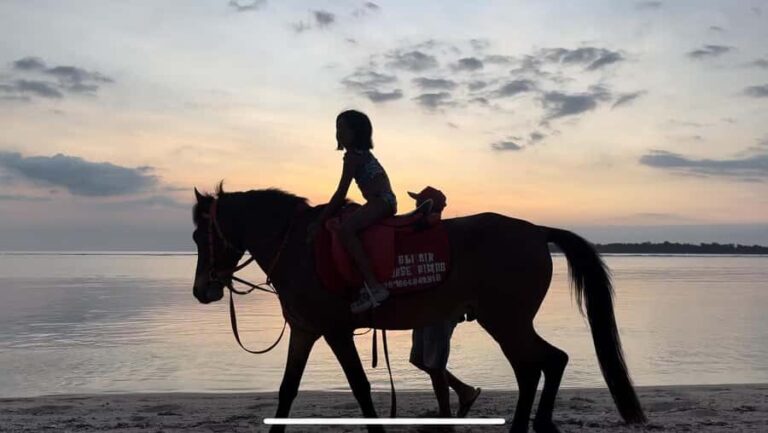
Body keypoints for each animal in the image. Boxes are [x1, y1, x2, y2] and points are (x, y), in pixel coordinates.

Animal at [191, 185, 646, 433]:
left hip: (506, 321)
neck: (298, 246)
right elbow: (287, 391)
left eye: (199, 236)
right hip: (506, 321)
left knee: (539, 364)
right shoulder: (306, 330)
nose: (201, 290)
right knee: (543, 364)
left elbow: (360, 388)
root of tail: (537, 231)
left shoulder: (335, 331)